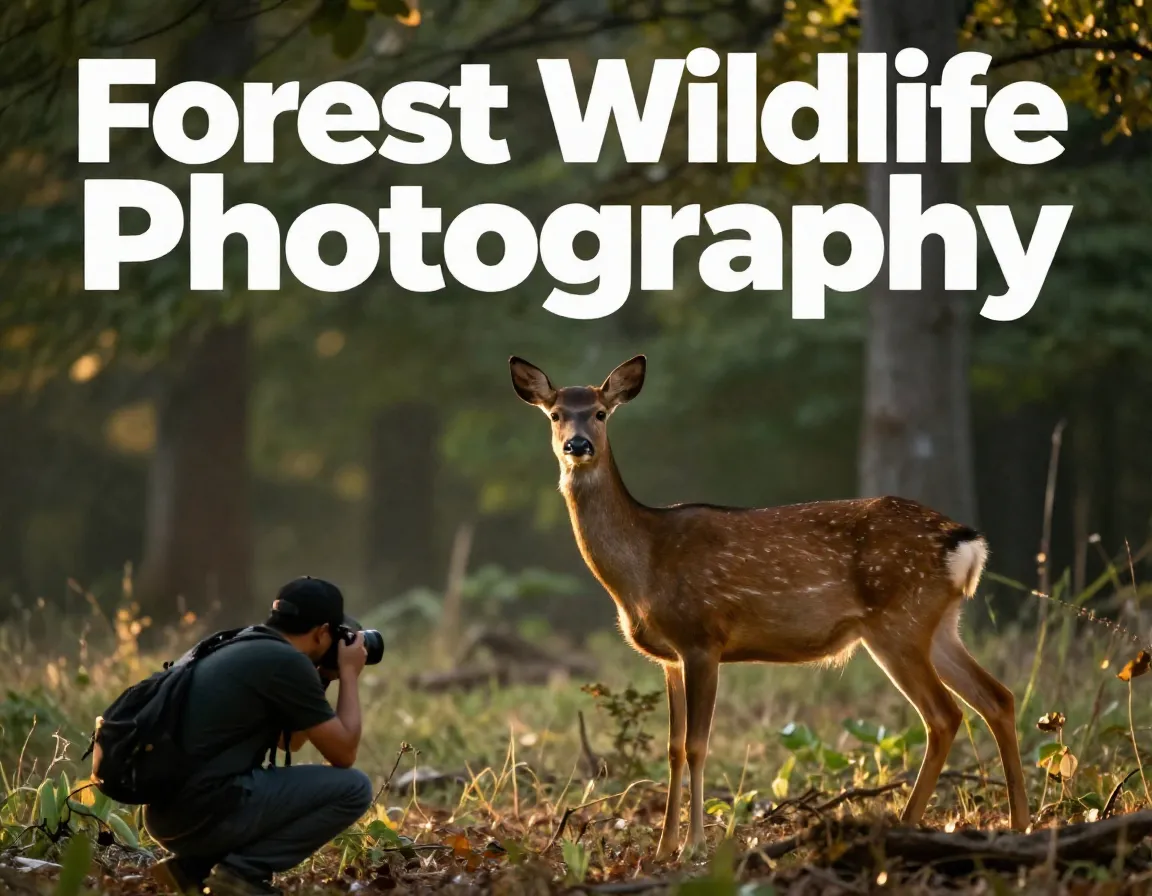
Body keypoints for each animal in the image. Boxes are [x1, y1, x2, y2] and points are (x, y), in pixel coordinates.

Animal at [509, 354, 1030, 861]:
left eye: (600, 412)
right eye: (555, 414)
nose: (577, 445)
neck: (643, 566)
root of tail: (964, 540)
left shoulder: (702, 638)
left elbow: (697, 745)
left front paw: (694, 846)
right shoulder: (669, 658)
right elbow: (673, 748)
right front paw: (663, 848)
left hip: (899, 622)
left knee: (944, 715)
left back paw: (908, 823)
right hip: (938, 623)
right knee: (997, 697)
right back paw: (1019, 823)